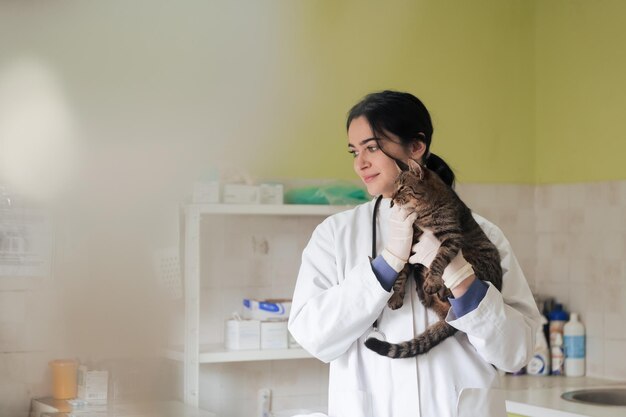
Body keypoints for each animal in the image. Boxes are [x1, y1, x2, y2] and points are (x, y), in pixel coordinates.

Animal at [366, 159, 502, 358]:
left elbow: (438, 259)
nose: (392, 199)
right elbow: (400, 273)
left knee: (448, 293)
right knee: (430, 300)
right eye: (394, 188)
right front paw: (397, 296)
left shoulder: (451, 237)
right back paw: (421, 284)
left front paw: (433, 279)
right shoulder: (408, 244)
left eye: (402, 188)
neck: (422, 212)